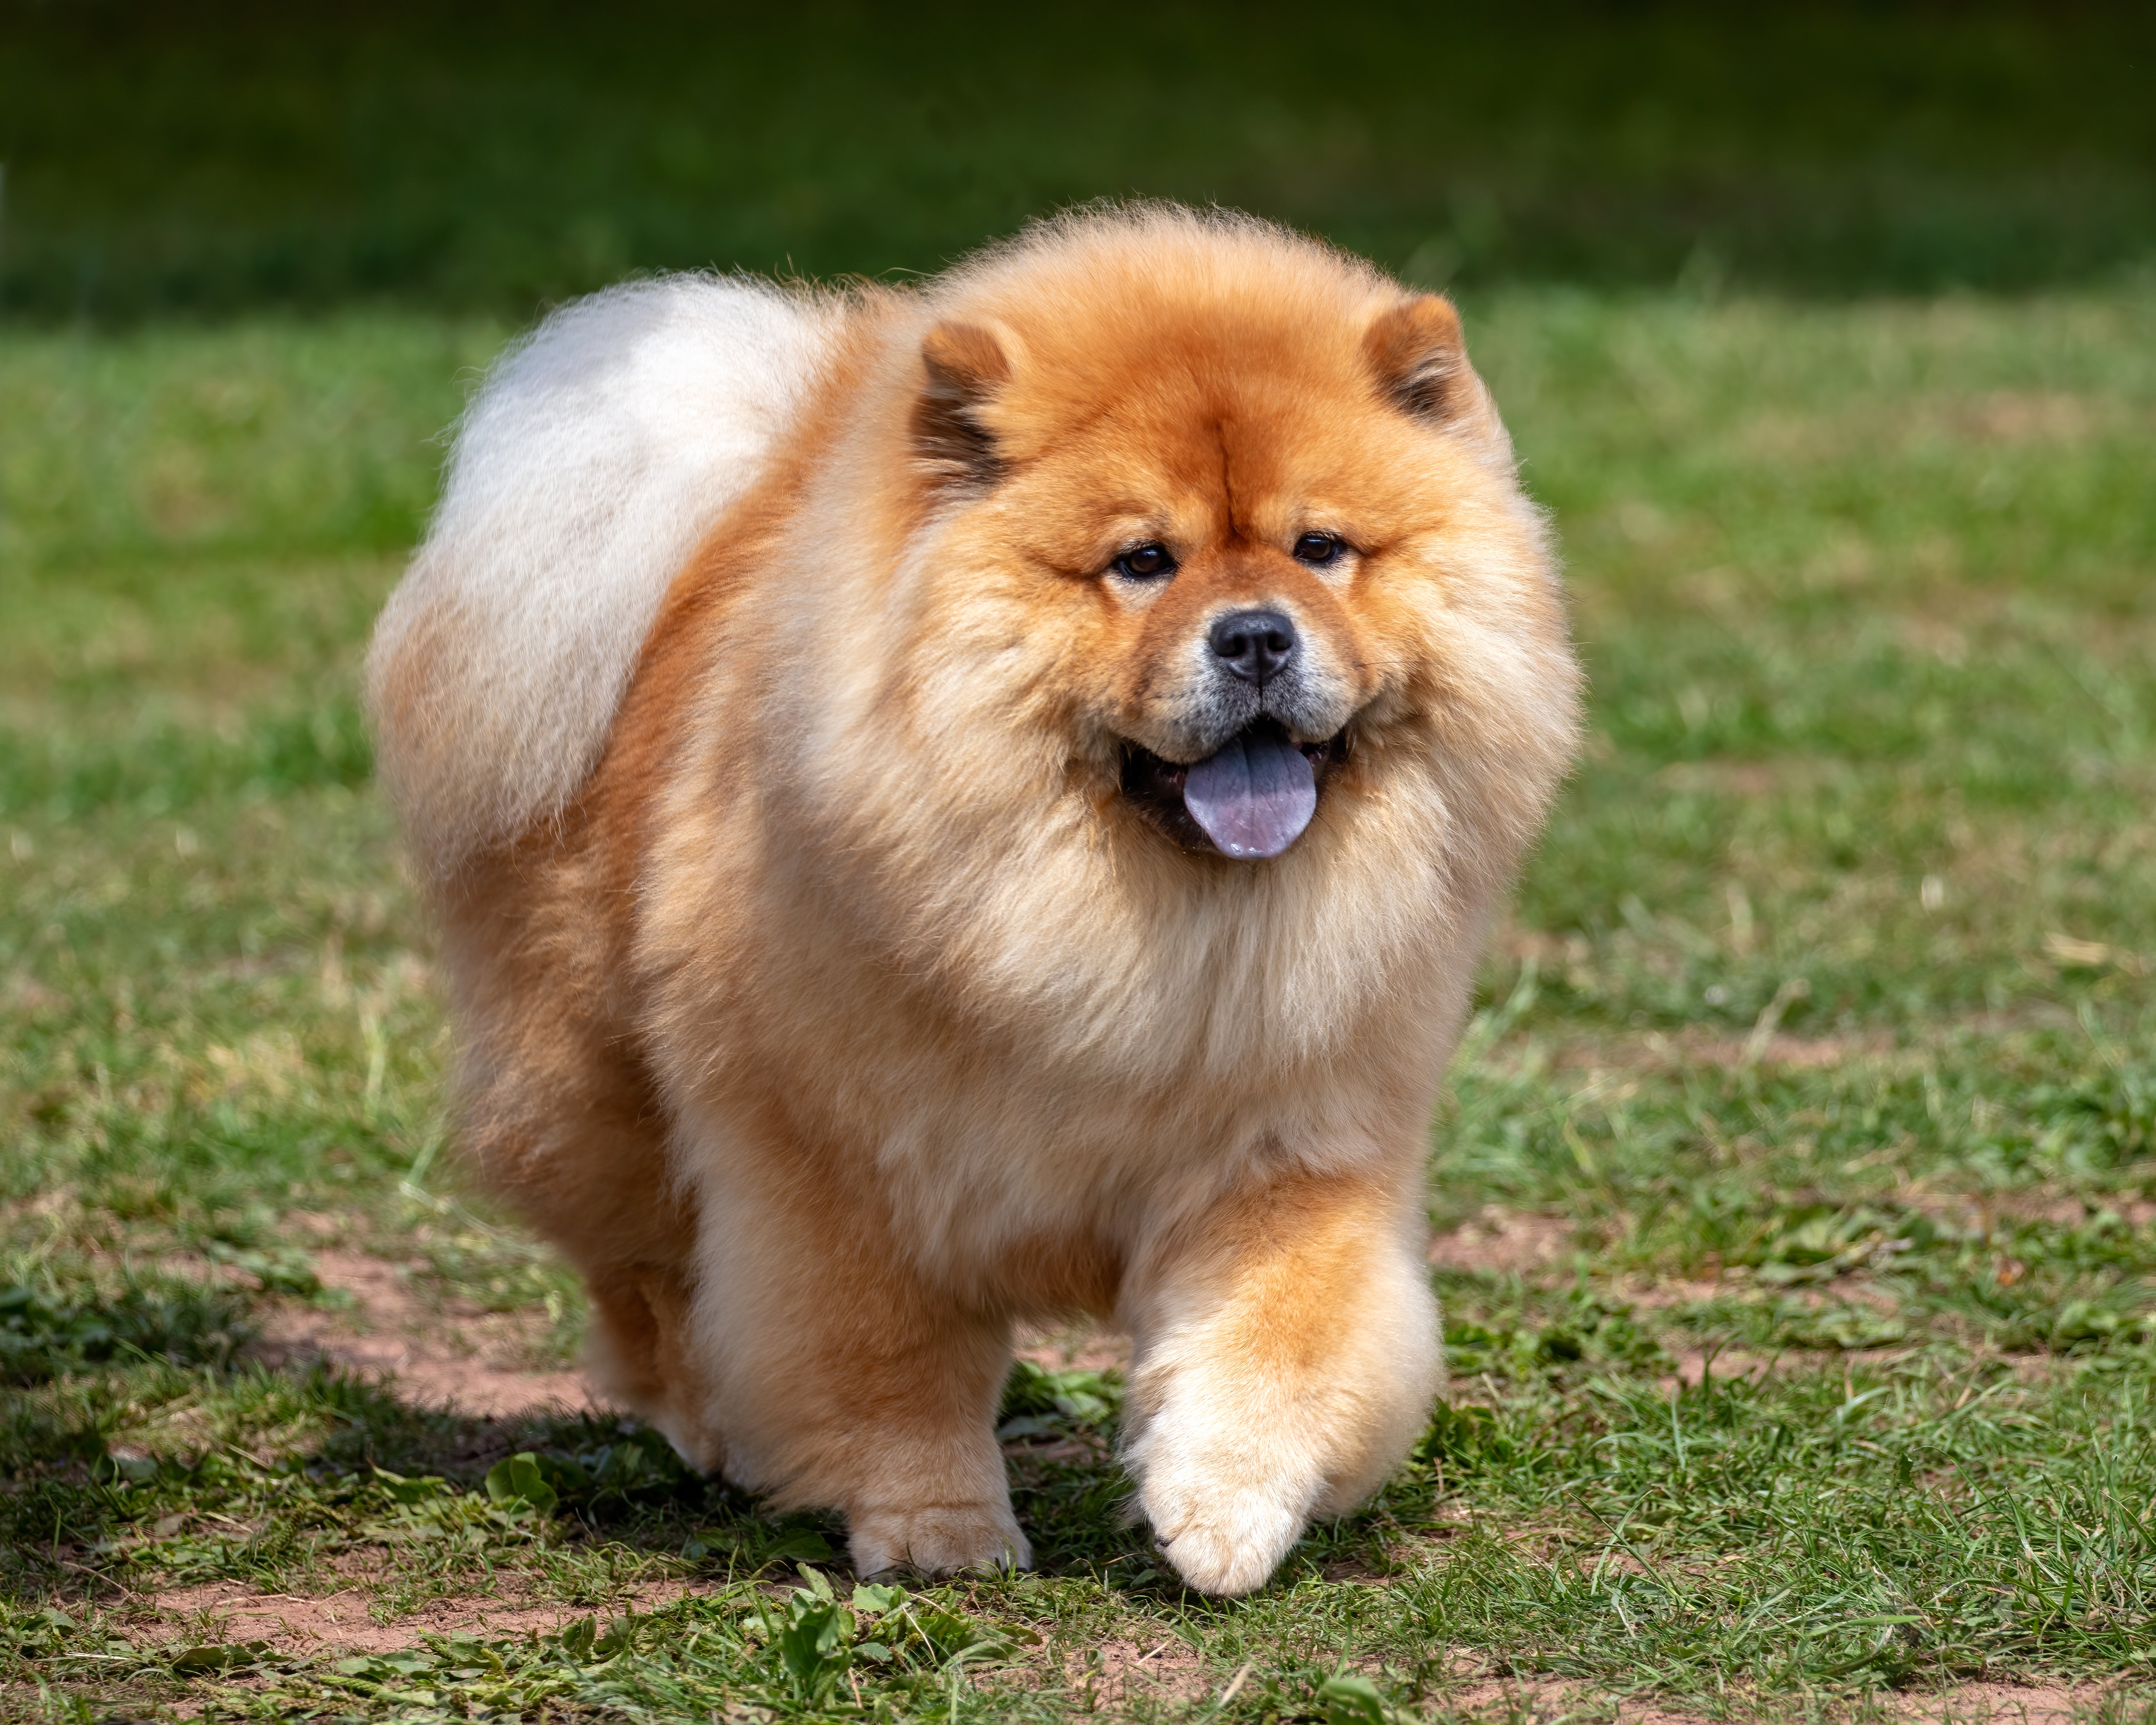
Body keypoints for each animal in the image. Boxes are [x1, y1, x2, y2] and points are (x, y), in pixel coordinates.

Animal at [371, 209, 1578, 1595]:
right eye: (1141, 561)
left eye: (1323, 549)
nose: (1257, 634)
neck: (1142, 926)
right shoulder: (842, 1170)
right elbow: (892, 1369)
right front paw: (937, 1532)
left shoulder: (1293, 1149)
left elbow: (1278, 1336)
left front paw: (1222, 1512)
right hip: (600, 1090)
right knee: (646, 1281)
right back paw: (707, 1426)